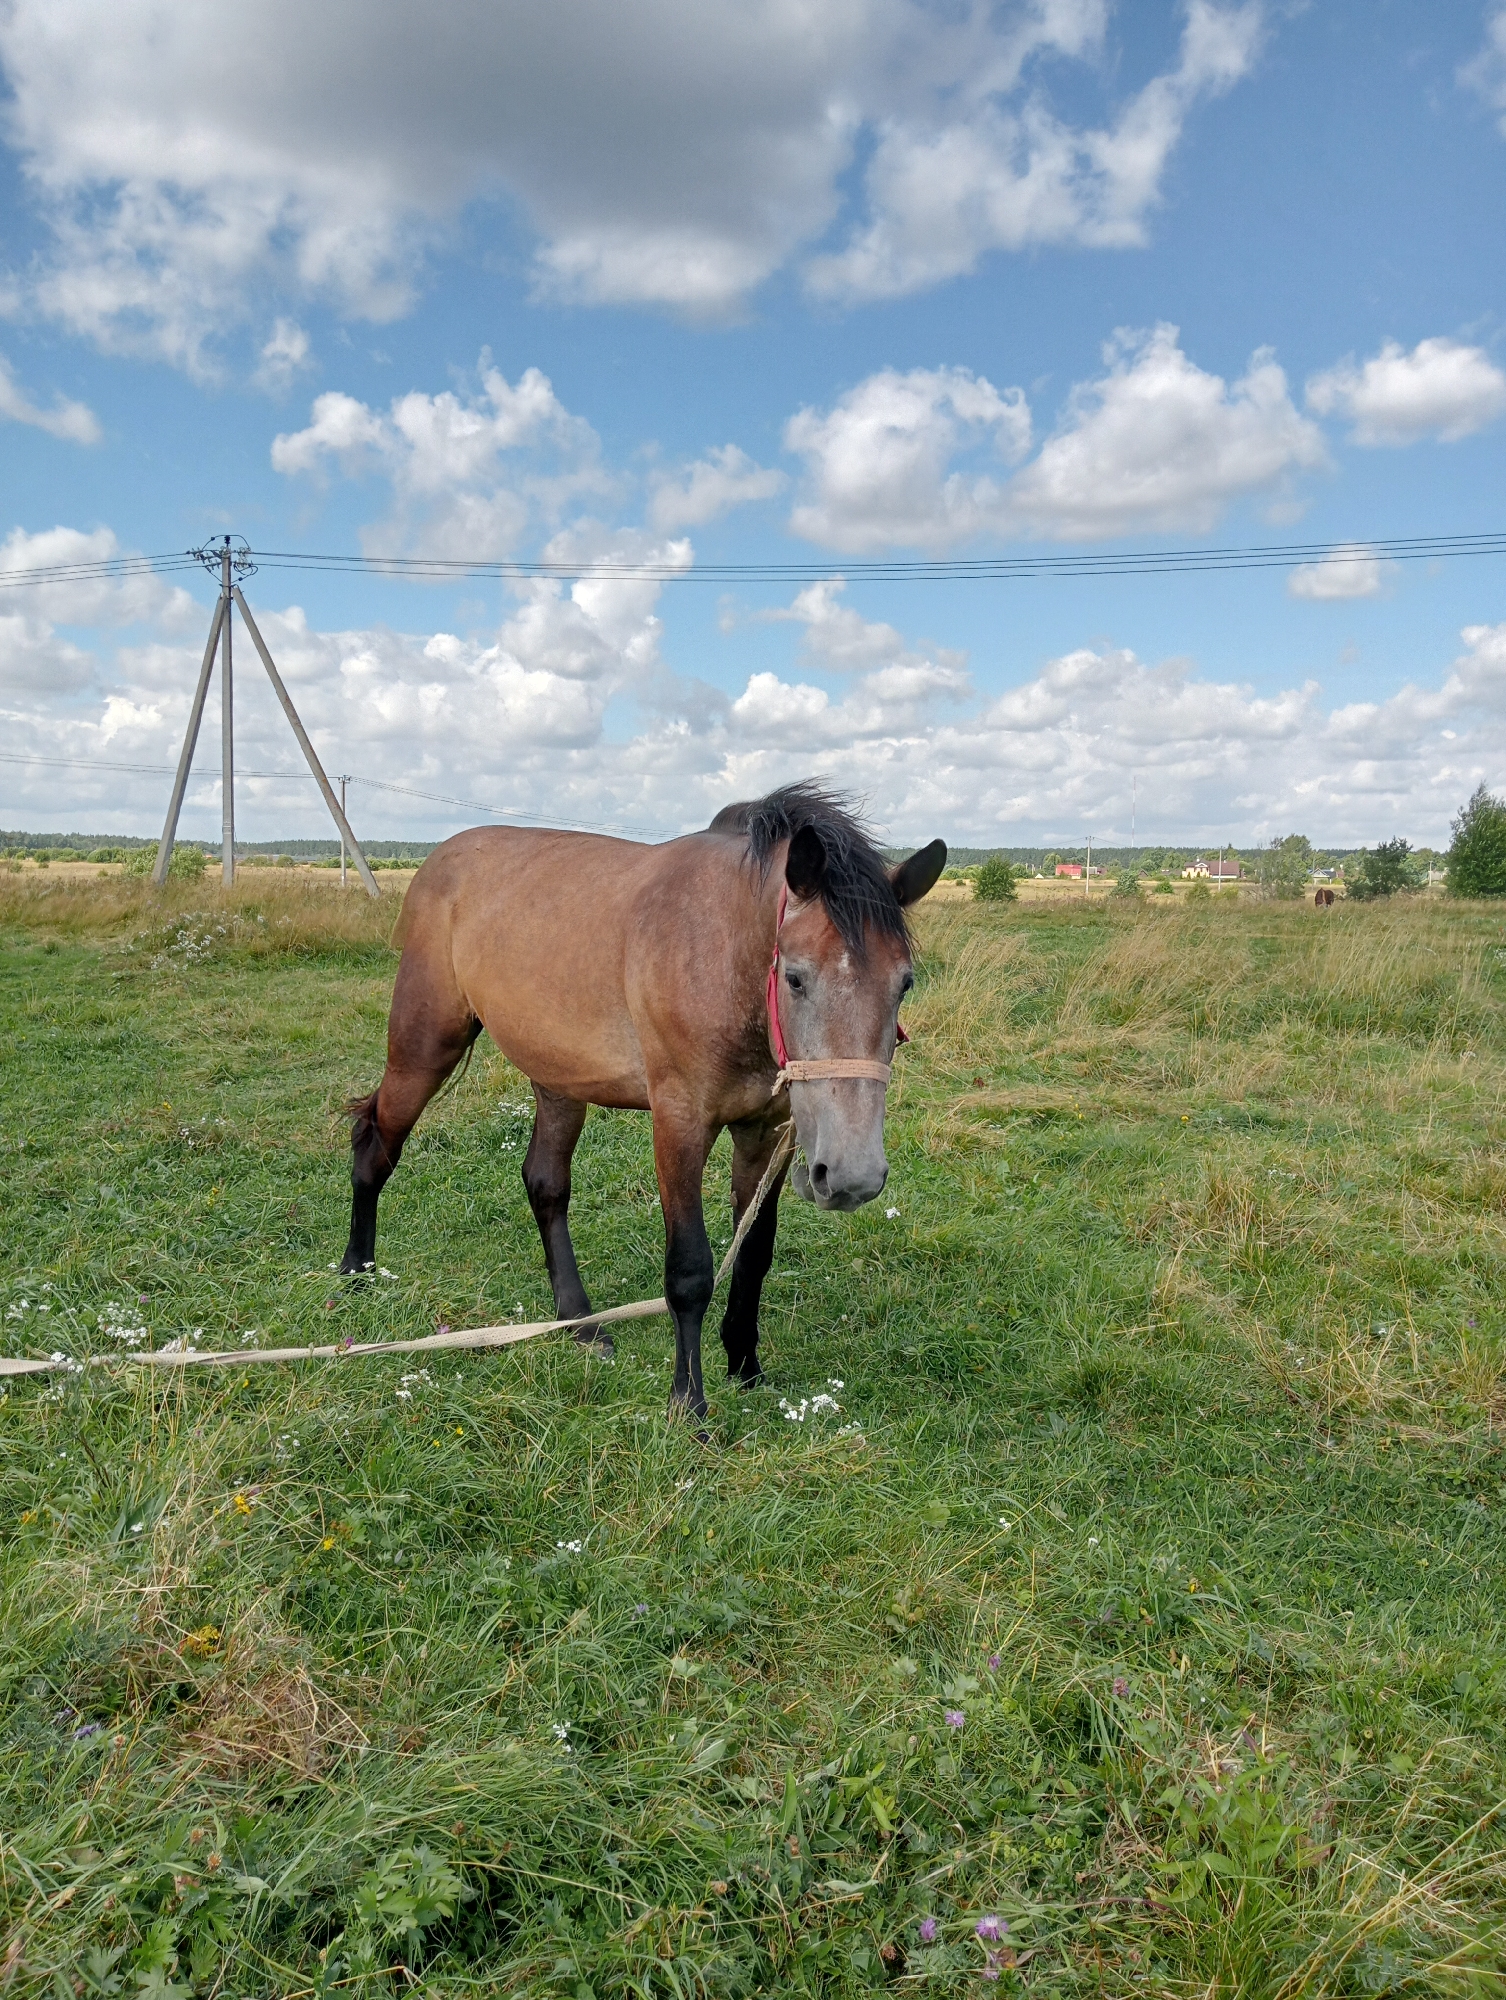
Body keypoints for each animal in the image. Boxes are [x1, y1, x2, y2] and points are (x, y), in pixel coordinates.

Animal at [340, 783, 947, 1416]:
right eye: (797, 977)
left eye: (904, 983)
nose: (853, 1177)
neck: (721, 953)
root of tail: (438, 862)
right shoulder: (680, 1123)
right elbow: (690, 1271)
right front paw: (689, 1405)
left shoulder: (765, 1132)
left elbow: (753, 1252)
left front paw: (745, 1366)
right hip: (424, 1047)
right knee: (375, 1143)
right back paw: (357, 1270)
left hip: (558, 1079)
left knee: (545, 1184)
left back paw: (580, 1323)